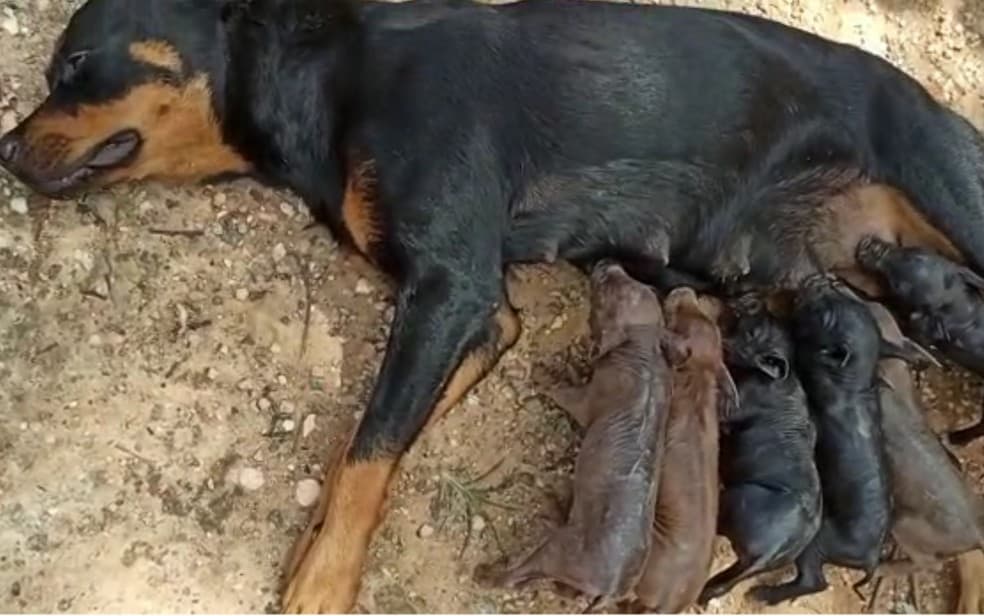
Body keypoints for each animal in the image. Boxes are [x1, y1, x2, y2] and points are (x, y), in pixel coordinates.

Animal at [1, 0, 984, 612]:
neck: (327, 76)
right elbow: (367, 449)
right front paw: (312, 547)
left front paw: (321, 586)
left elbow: (368, 452)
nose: (6, 149)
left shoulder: (449, 289)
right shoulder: (479, 318)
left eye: (75, 62)